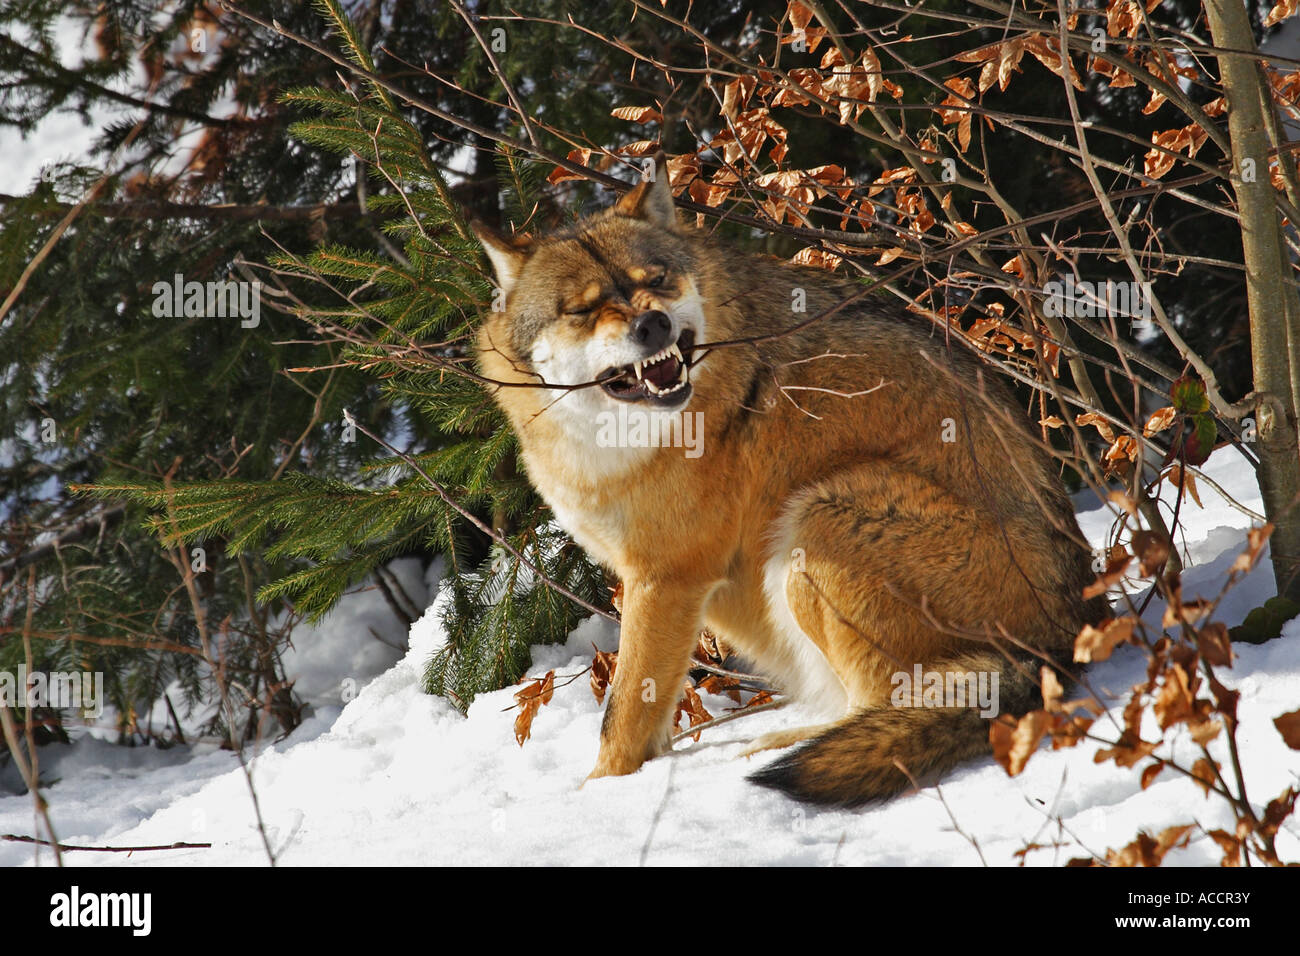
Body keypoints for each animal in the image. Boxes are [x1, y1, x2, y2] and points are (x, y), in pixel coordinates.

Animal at [473, 157, 1102, 806]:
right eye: (583, 309)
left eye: (659, 279)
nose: (652, 324)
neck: (616, 444)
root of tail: (1070, 636)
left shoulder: (665, 579)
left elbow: (622, 713)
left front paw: (599, 795)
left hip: (815, 522)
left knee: (883, 704)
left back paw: (782, 743)